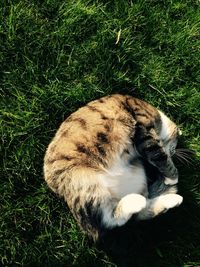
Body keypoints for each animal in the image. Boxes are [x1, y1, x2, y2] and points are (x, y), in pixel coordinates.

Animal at [43, 94, 183, 241]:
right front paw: (172, 178)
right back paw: (136, 201)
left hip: (138, 173)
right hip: (85, 184)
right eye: (175, 146)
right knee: (106, 223)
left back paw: (172, 200)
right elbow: (160, 157)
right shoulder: (144, 133)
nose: (174, 152)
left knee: (139, 213)